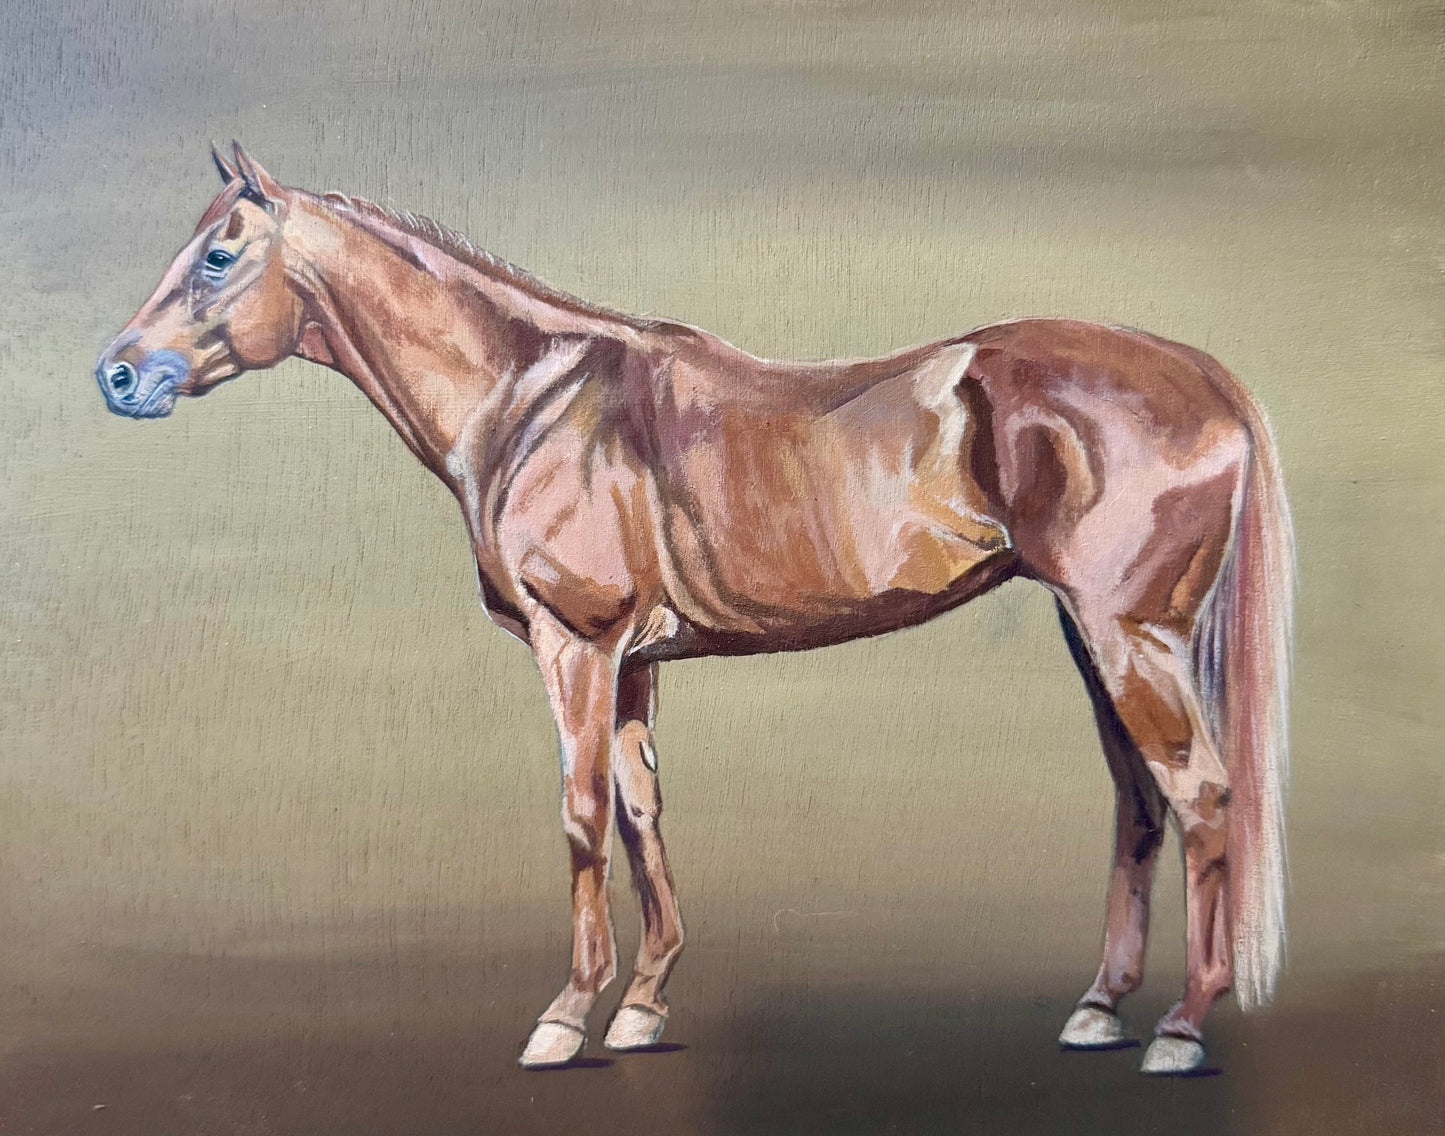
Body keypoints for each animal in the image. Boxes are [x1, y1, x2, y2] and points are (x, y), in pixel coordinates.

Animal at [95, 144, 1293, 1075]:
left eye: (217, 255)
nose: (116, 377)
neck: (534, 401)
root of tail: (1202, 374)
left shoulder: (574, 645)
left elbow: (581, 814)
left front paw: (564, 1017)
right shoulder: (632, 662)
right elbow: (641, 811)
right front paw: (640, 1006)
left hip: (1129, 638)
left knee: (1201, 796)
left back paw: (1180, 1027)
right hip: (1096, 639)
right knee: (1137, 805)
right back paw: (1097, 1010)